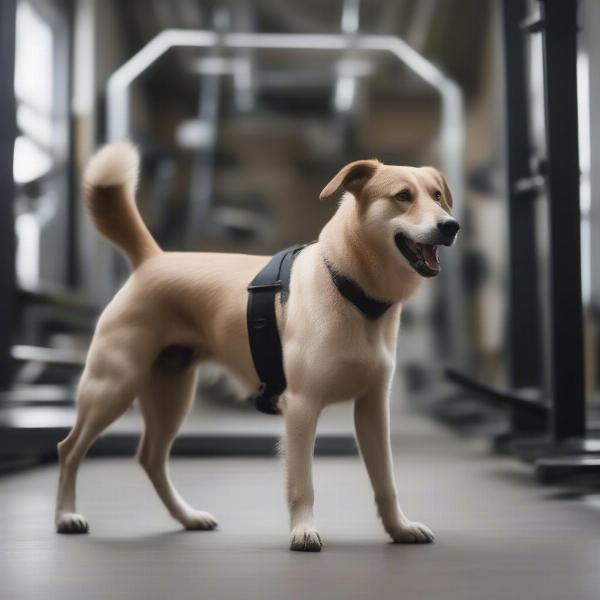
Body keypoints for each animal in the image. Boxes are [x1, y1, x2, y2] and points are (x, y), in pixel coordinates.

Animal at [55, 141, 460, 552]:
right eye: (402, 196)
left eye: (437, 196)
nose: (451, 225)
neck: (349, 287)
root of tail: (152, 260)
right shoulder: (301, 407)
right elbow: (302, 483)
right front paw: (303, 531)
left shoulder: (372, 408)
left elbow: (385, 481)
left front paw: (399, 528)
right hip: (112, 385)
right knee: (69, 449)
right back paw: (66, 516)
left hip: (170, 393)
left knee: (151, 458)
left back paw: (187, 517)